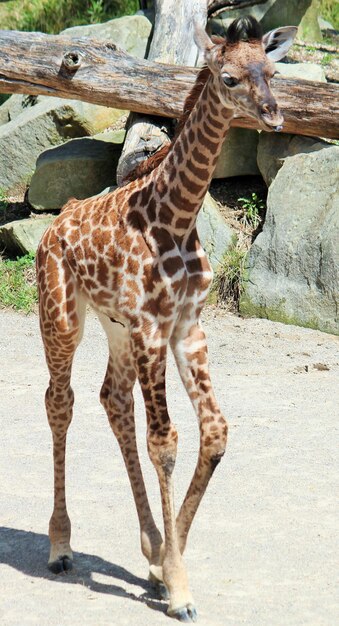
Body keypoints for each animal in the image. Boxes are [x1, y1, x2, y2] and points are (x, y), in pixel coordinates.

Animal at [36, 17, 298, 620]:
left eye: (272, 73)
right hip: (61, 316)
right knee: (61, 402)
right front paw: (179, 587)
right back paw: (60, 546)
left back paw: (149, 544)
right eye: (228, 78)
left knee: (112, 399)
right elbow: (166, 442)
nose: (274, 116)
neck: (176, 217)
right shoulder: (154, 328)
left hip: (116, 328)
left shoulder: (185, 328)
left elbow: (215, 432)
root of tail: (54, 224)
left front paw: (161, 563)